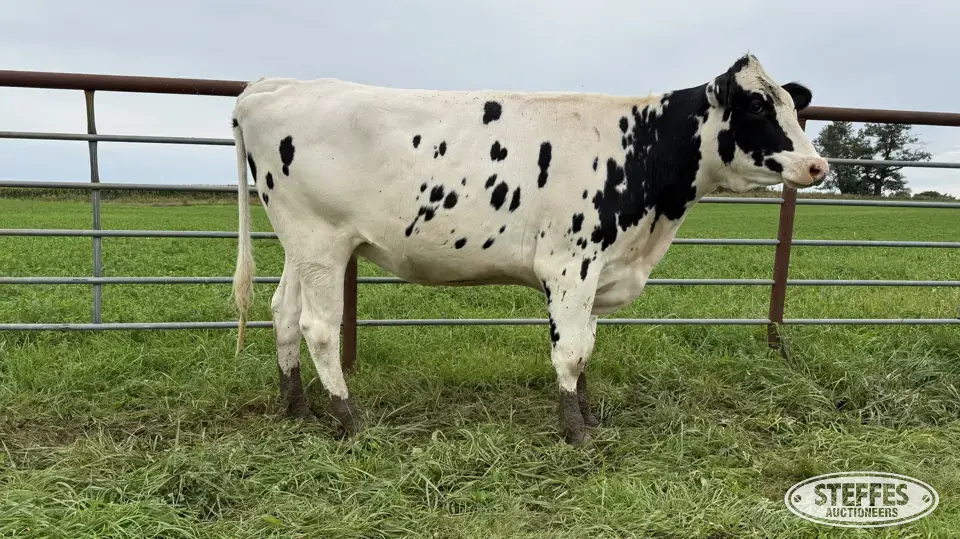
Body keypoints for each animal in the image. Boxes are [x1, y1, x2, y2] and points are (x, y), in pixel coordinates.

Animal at [230, 54, 828, 445]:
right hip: (321, 241)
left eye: (791, 107)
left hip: (298, 245)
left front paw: (589, 415)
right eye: (756, 106)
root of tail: (270, 86)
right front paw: (575, 432)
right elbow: (570, 352)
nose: (816, 165)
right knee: (318, 327)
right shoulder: (569, 264)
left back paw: (297, 408)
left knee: (283, 313)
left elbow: (587, 348)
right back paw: (348, 419)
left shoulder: (599, 268)